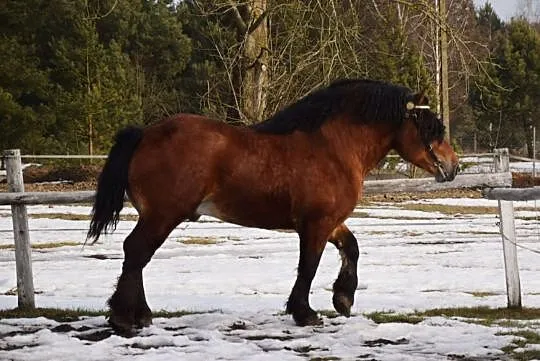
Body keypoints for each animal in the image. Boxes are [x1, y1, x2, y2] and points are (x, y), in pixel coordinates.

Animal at [86, 79, 458, 334]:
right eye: (431, 128)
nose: (453, 167)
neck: (333, 148)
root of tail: (145, 134)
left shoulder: (330, 222)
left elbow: (351, 248)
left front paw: (343, 299)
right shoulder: (316, 224)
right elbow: (308, 267)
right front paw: (305, 313)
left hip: (156, 216)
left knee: (137, 257)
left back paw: (140, 315)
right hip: (163, 216)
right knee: (136, 252)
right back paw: (123, 318)